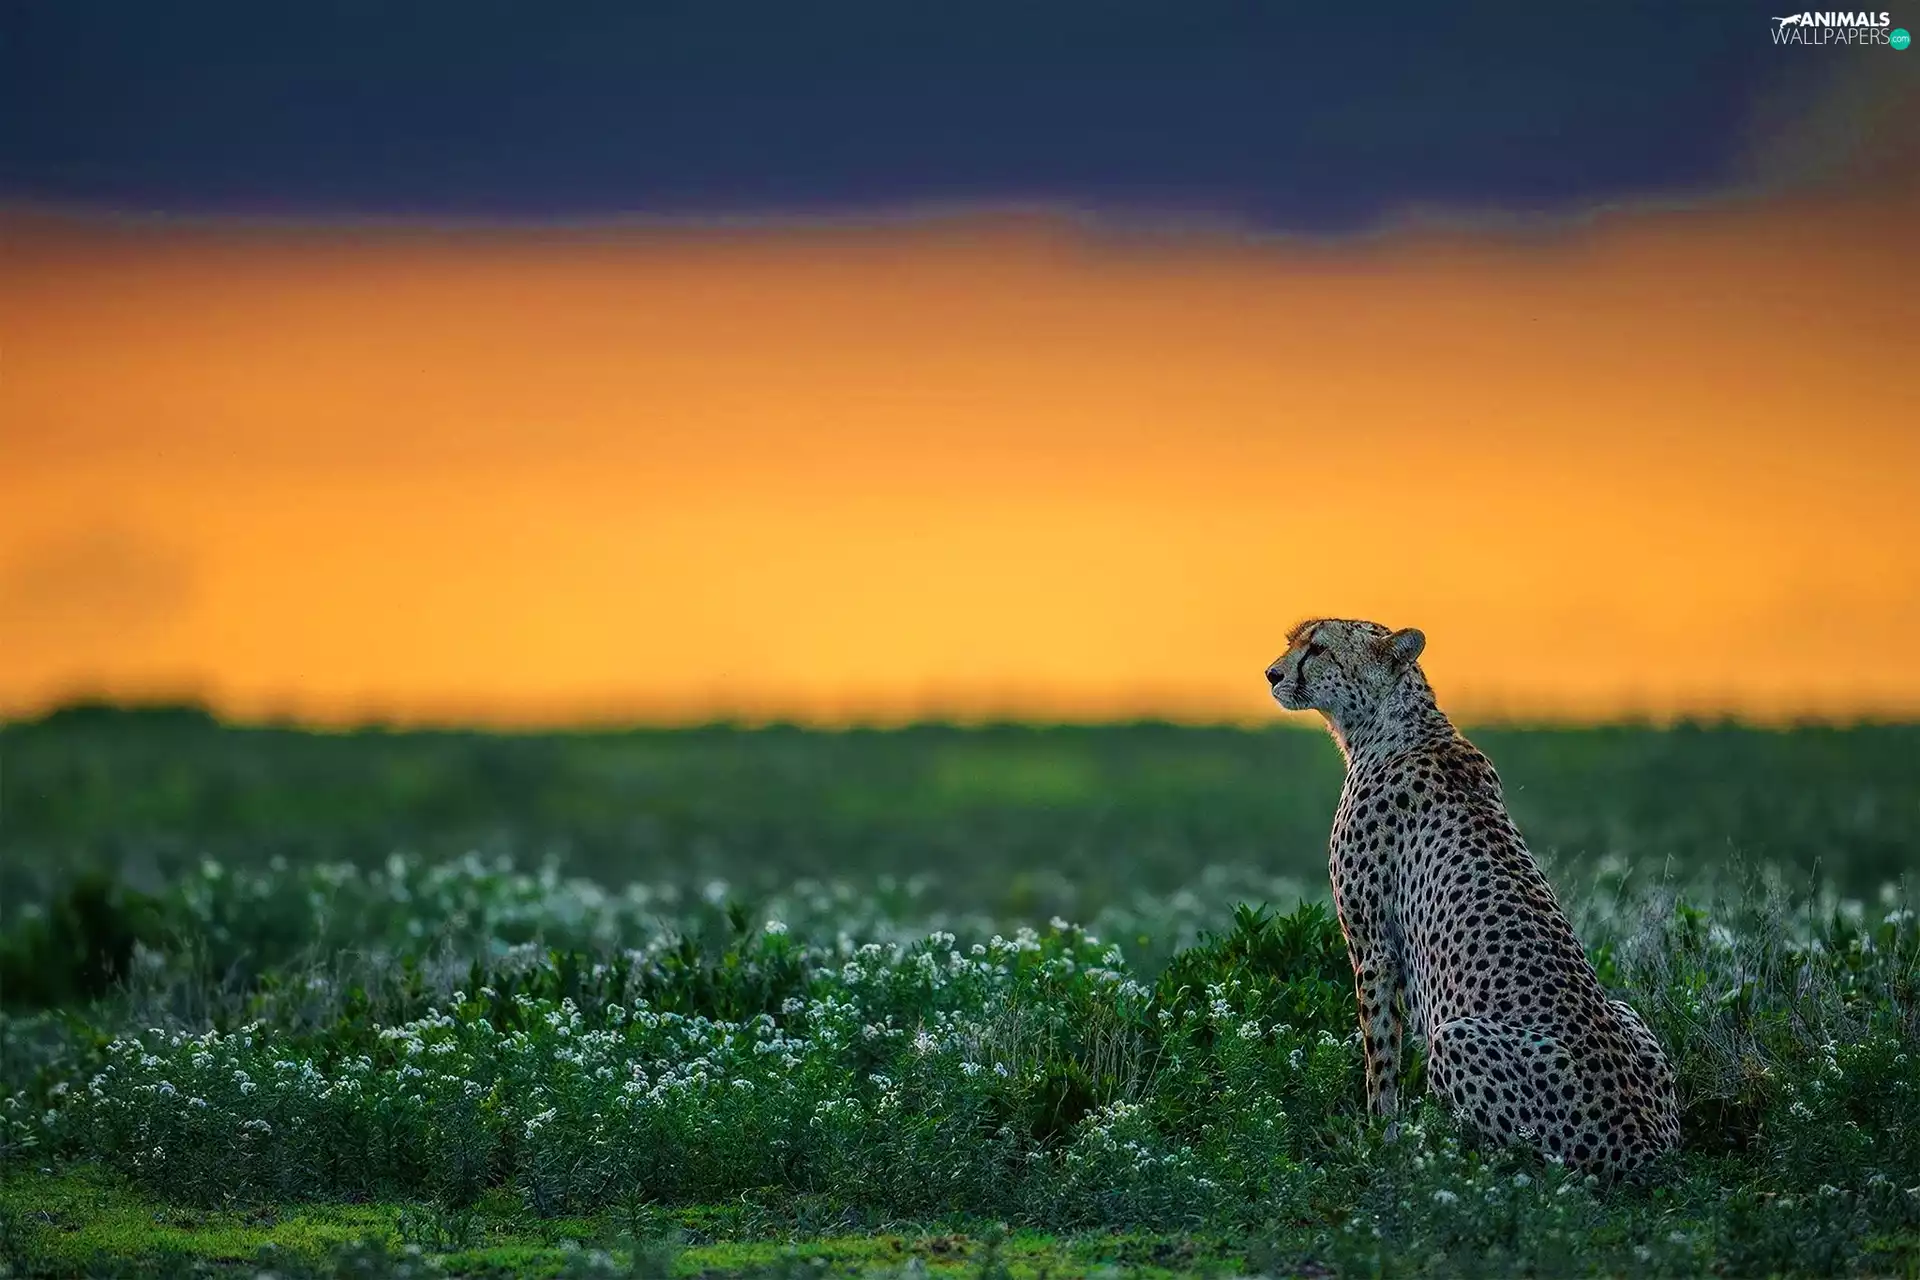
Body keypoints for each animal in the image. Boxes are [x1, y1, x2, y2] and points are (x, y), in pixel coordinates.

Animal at [1265, 618, 1680, 1176]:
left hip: (1457, 1037)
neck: (1397, 724)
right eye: (1294, 641)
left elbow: (1381, 1056)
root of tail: (1649, 1146)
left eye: (1318, 648)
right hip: (1627, 1012)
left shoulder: (1373, 948)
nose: (1272, 674)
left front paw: (1378, 1141)